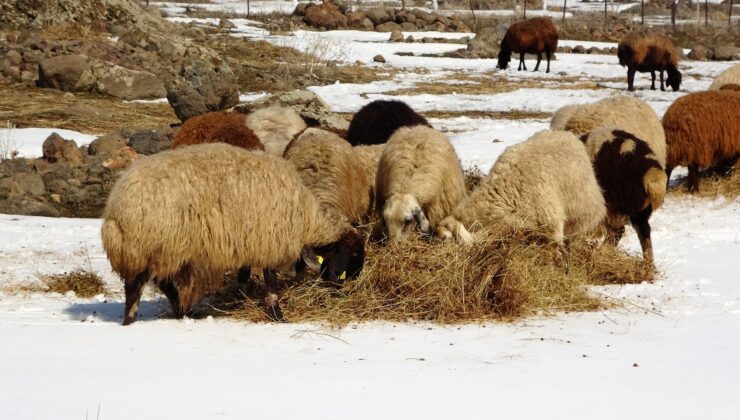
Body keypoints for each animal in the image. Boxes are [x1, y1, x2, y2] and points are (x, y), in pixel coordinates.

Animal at [101, 142, 368, 324]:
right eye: (352, 255)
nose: (341, 291)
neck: (306, 216)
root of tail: (115, 211)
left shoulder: (246, 240)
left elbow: (244, 273)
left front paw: (241, 297)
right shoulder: (268, 238)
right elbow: (270, 280)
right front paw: (277, 314)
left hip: (160, 250)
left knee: (160, 283)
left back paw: (181, 311)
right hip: (151, 246)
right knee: (135, 289)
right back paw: (135, 320)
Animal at [580, 127, 668, 262]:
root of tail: (651, 172)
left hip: (614, 203)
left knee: (617, 231)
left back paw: (603, 251)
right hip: (639, 211)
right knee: (644, 231)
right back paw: (647, 263)